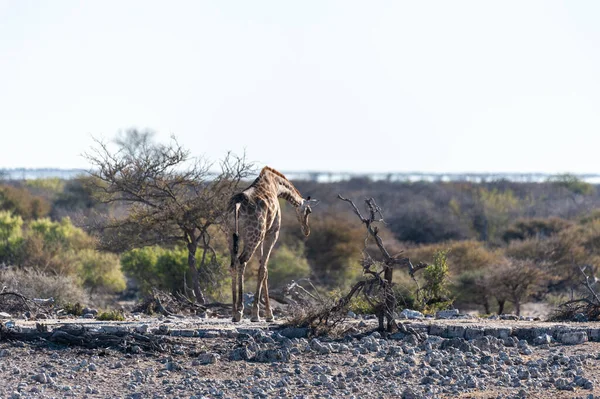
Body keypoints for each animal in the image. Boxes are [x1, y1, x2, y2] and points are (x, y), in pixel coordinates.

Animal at [226, 167, 318, 324]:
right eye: (309, 211)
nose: (307, 231)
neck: (276, 186)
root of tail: (237, 206)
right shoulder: (272, 233)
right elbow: (263, 269)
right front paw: (259, 315)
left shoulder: (264, 235)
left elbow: (264, 268)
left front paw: (268, 314)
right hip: (253, 236)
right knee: (242, 262)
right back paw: (239, 312)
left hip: (230, 235)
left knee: (233, 264)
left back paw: (233, 312)